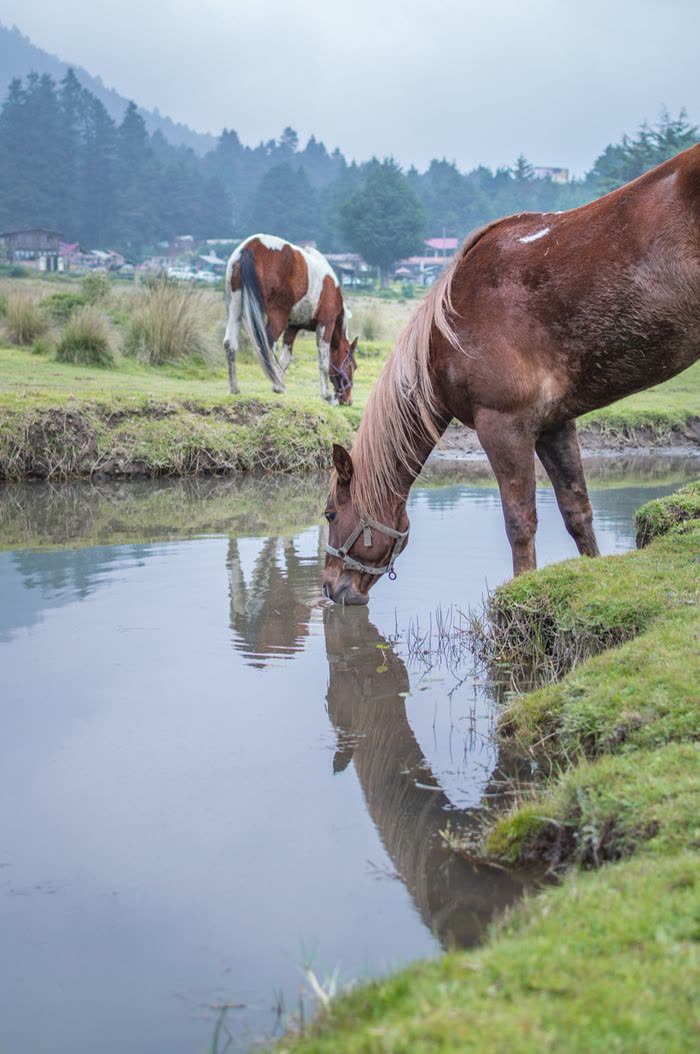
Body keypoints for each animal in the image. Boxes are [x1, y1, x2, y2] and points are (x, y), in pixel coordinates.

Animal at [223, 234, 358, 404]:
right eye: (352, 365)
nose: (348, 400)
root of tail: (250, 246)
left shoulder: (293, 327)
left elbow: (285, 358)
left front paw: (278, 381)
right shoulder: (326, 323)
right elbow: (323, 360)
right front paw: (326, 395)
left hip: (235, 308)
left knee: (230, 344)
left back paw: (235, 388)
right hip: (277, 317)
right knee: (266, 345)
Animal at [323, 144, 700, 604]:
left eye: (330, 514)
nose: (330, 588)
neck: (448, 330)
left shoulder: (503, 425)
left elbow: (520, 521)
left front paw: (520, 594)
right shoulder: (554, 426)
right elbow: (577, 511)